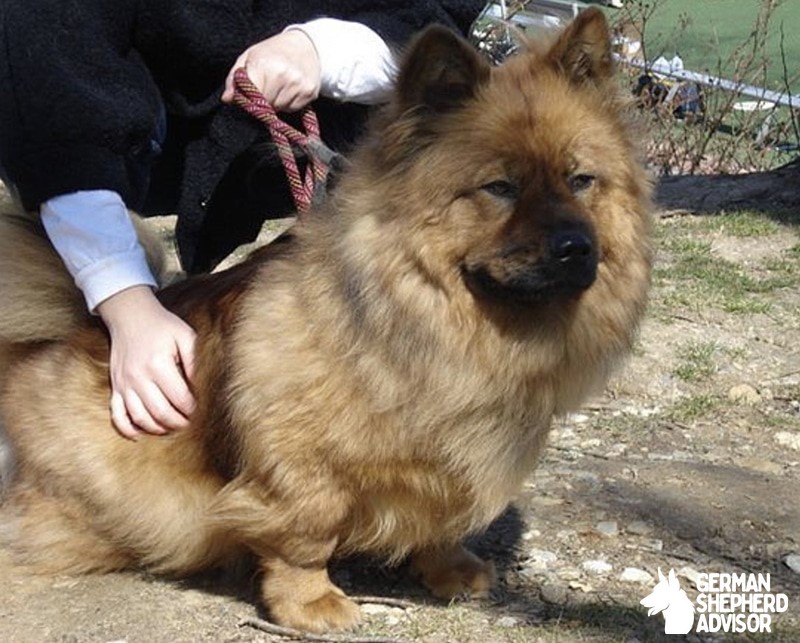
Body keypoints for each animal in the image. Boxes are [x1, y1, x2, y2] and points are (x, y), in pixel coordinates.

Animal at [0, 8, 648, 632]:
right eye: (500, 188)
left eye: (581, 180)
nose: (575, 247)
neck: (437, 321)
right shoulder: (299, 463)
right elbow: (306, 533)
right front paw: (309, 601)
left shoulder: (451, 454)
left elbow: (444, 516)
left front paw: (449, 567)